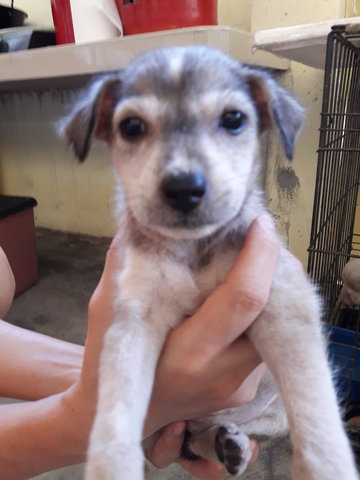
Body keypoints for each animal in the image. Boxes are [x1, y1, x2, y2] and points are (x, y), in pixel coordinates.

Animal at [60, 46, 358, 480]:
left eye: (233, 119)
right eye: (131, 126)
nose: (184, 189)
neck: (194, 248)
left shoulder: (286, 304)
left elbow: (314, 412)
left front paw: (329, 466)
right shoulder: (134, 319)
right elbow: (116, 411)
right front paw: (110, 467)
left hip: (273, 416)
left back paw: (229, 443)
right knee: (188, 436)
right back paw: (221, 443)